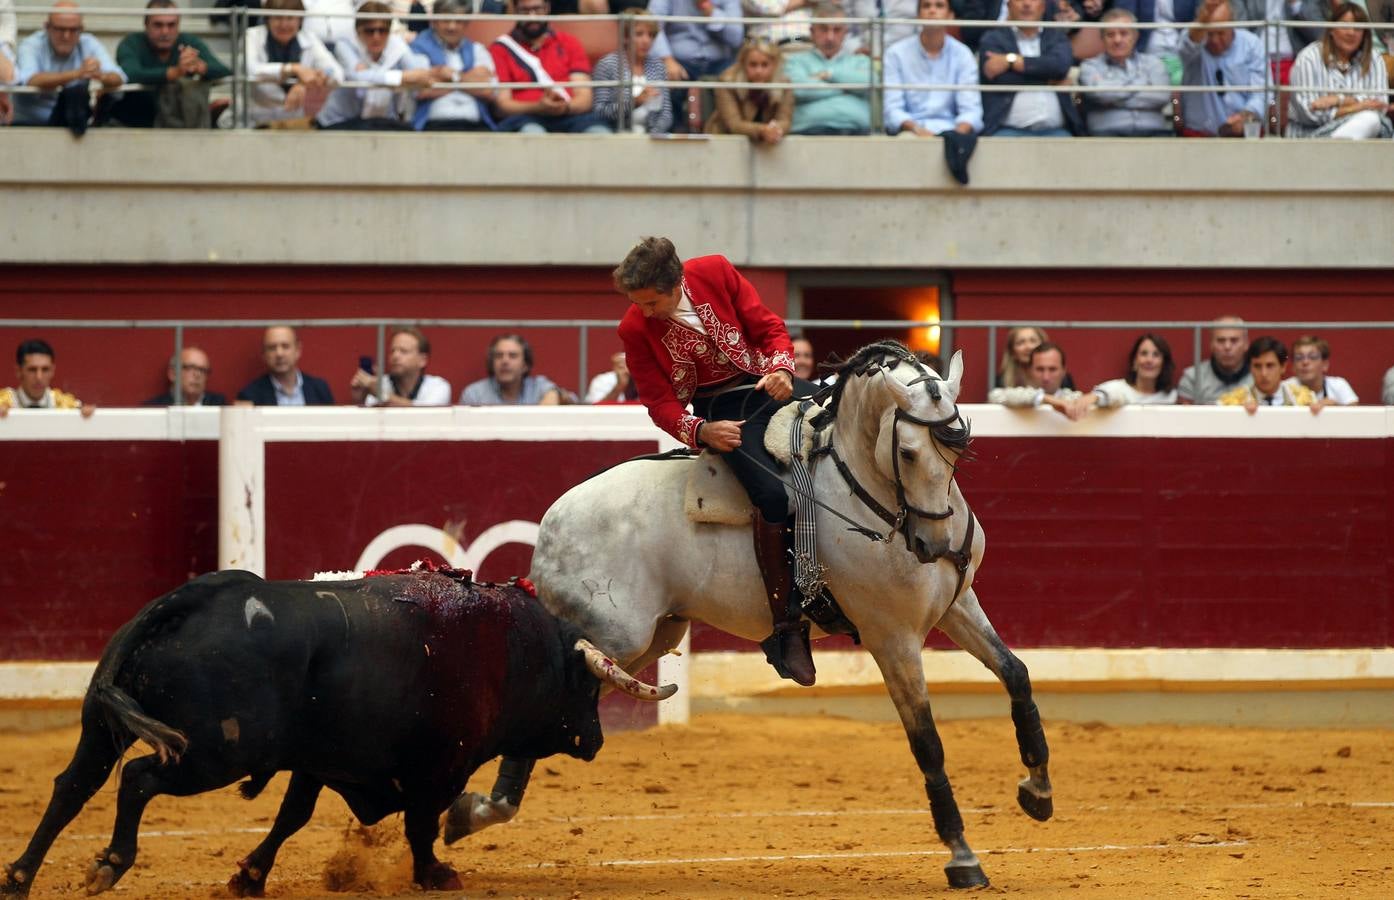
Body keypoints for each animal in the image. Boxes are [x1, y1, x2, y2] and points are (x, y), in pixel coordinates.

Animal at [4, 571, 657, 897]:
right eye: (586, 688)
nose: (596, 740)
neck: (514, 650)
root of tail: (190, 599)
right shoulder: (437, 769)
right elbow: (421, 827)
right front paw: (435, 875)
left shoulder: (320, 761)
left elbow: (291, 817)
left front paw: (249, 877)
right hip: (215, 752)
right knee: (139, 779)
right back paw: (110, 865)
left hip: (101, 730)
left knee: (71, 787)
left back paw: (19, 878)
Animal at [451, 342, 1048, 891]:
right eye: (906, 452)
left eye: (960, 446)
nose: (935, 546)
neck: (859, 486)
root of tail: (552, 522)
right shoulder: (891, 637)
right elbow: (926, 740)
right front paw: (962, 856)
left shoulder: (958, 605)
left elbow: (1016, 672)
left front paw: (1038, 790)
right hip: (616, 637)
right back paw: (467, 810)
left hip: (652, 637)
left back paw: (468, 813)